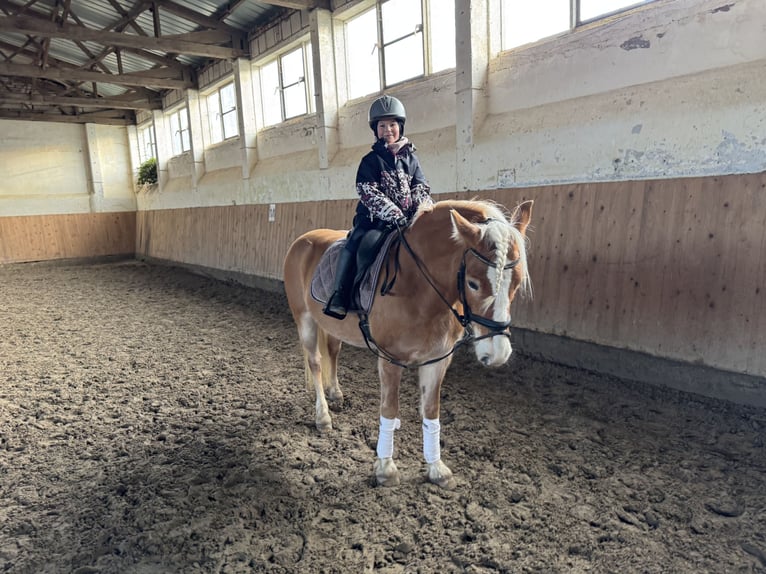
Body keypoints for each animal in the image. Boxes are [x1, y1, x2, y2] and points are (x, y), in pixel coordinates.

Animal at [282, 199, 536, 490]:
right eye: (473, 283)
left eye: (517, 282)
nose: (497, 354)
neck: (419, 286)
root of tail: (303, 239)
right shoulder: (390, 360)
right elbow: (389, 409)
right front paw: (386, 469)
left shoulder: (438, 359)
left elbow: (431, 411)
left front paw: (437, 469)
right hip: (304, 318)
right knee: (315, 362)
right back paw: (323, 417)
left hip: (331, 325)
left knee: (333, 353)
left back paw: (335, 393)